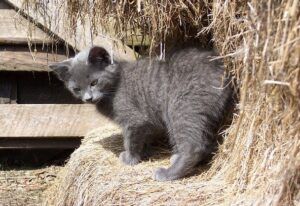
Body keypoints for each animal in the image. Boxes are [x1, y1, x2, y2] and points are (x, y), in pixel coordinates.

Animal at [49, 46, 232, 180]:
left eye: (94, 82)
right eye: (76, 89)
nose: (88, 98)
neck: (114, 86)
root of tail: (220, 68)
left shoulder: (134, 120)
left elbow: (130, 140)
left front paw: (130, 158)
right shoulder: (147, 121)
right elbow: (144, 137)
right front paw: (144, 152)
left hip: (182, 107)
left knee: (194, 146)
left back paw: (168, 173)